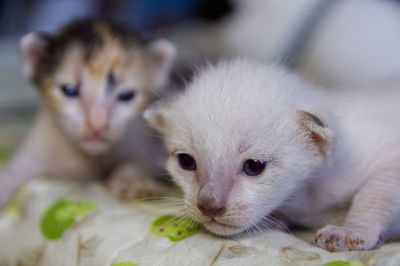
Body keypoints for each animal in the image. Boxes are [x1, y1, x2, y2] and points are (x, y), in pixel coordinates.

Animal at [145, 58, 400, 251]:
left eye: (254, 166)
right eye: (186, 162)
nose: (209, 207)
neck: (302, 196)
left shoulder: (390, 158)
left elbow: (372, 196)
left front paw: (349, 231)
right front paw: (274, 220)